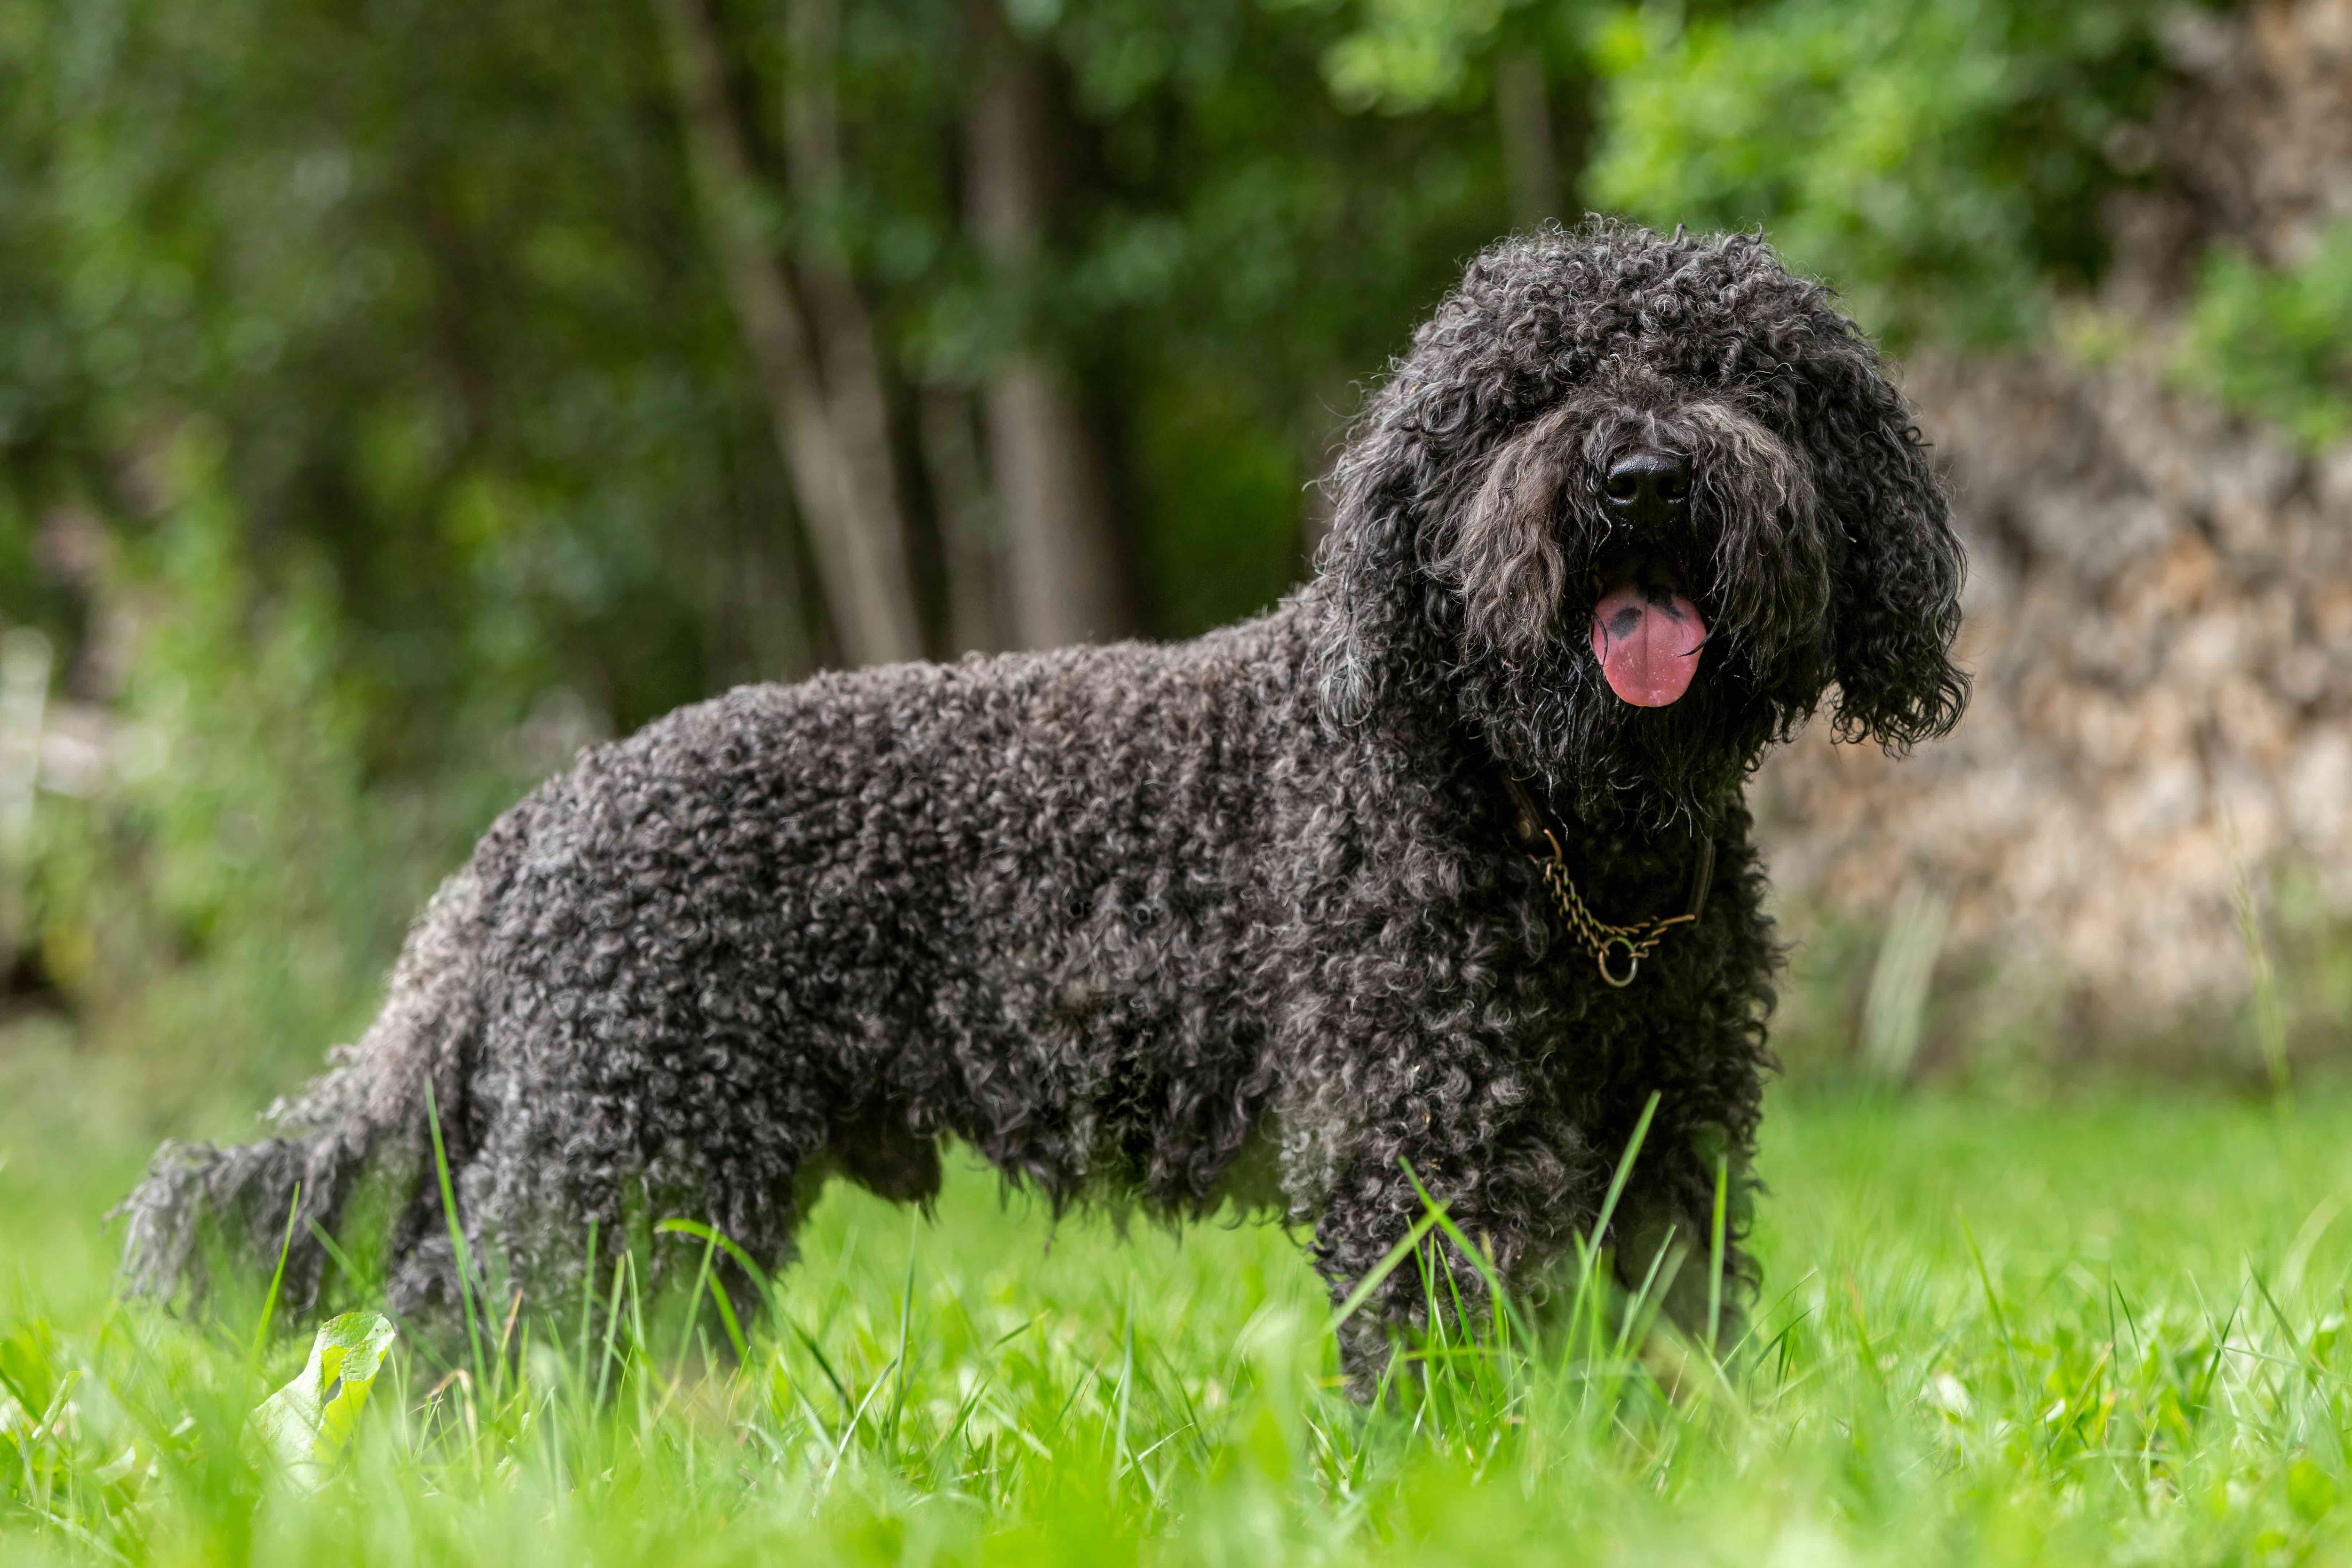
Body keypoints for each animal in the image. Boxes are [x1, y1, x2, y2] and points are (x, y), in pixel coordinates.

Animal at [124, 221, 1966, 1382]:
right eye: (1525, 394)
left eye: (1735, 374)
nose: (1638, 475)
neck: (1558, 826)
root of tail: (539, 822)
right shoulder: (1431, 1147)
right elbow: (1456, 1355)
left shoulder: (1665, 1141)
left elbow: (1661, 1347)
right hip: (616, 1154)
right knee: (477, 1324)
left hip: (672, 1169)